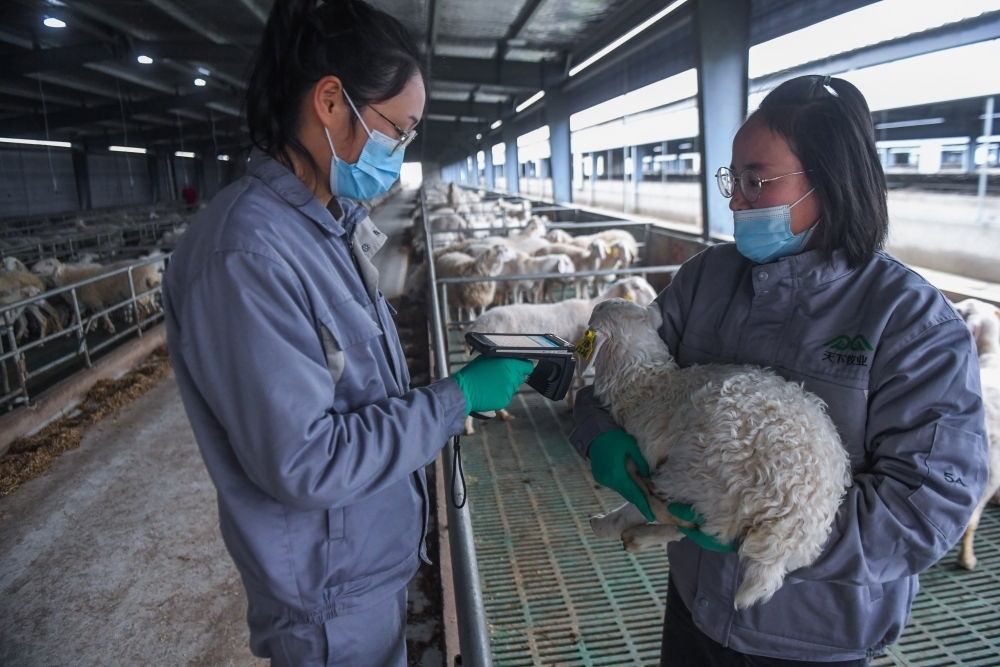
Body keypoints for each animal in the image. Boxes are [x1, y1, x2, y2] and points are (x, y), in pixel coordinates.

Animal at [578, 298, 851, 609]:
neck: (648, 385)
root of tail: (789, 527)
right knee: (704, 530)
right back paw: (639, 536)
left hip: (701, 472)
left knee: (659, 506)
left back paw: (608, 524)